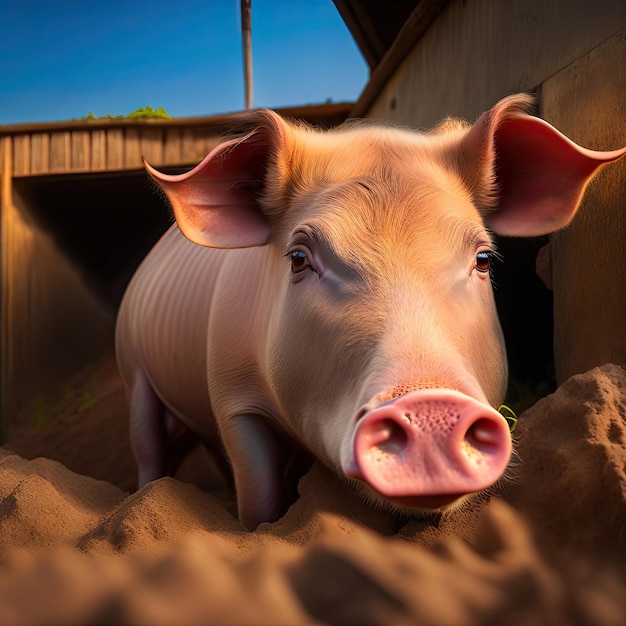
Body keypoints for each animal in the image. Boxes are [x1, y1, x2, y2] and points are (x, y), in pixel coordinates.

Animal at [114, 95, 620, 528]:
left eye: (482, 259)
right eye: (298, 258)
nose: (430, 408)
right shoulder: (232, 396)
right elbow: (259, 498)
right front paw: (256, 526)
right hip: (132, 363)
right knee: (147, 443)